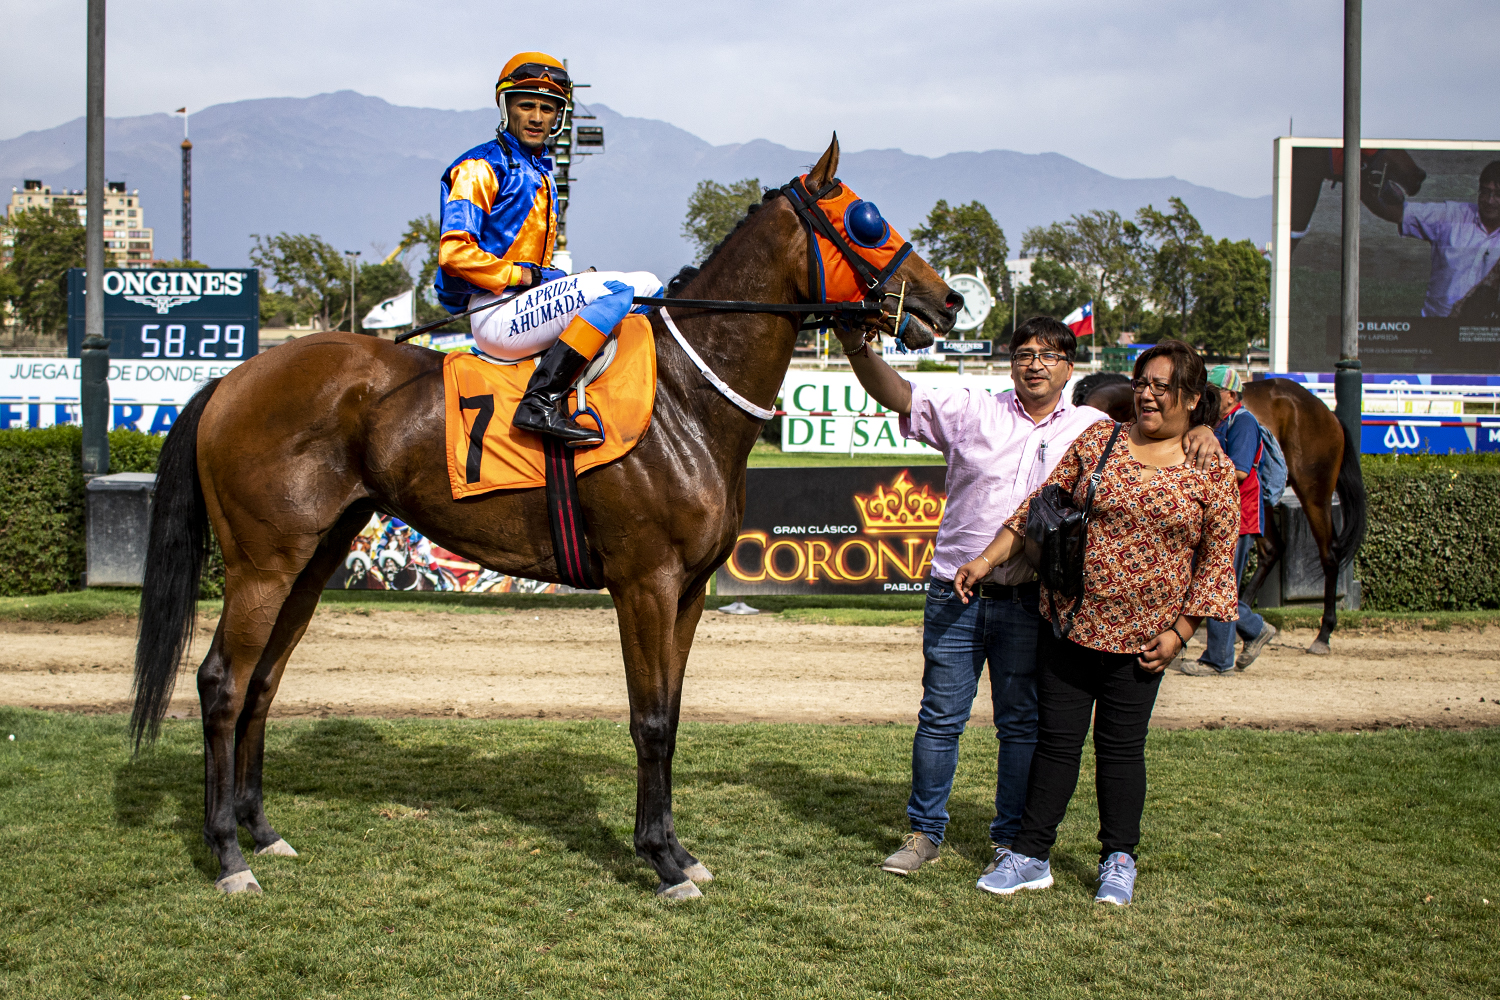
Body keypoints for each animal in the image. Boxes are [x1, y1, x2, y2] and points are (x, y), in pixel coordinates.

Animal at [128, 136, 960, 898]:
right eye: (866, 218)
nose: (946, 301)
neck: (685, 397)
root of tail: (233, 378)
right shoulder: (645, 584)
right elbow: (650, 720)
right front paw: (661, 862)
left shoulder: (689, 591)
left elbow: (672, 715)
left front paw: (678, 850)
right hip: (261, 563)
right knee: (222, 682)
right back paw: (227, 854)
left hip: (313, 557)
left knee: (263, 681)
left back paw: (262, 832)